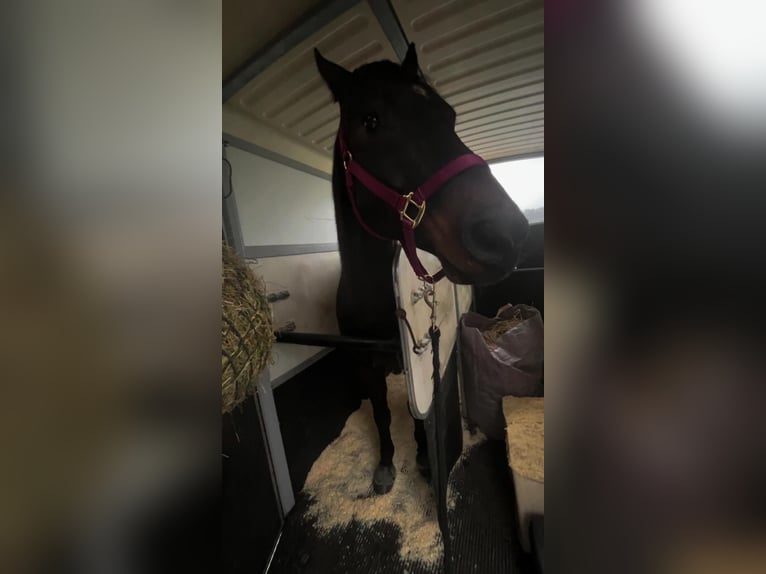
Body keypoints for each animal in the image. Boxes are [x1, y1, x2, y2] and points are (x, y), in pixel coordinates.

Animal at [315, 43, 530, 494]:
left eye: (448, 115)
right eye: (370, 120)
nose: (506, 233)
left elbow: (419, 415)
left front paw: (420, 456)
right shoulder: (369, 367)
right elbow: (380, 414)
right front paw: (385, 465)